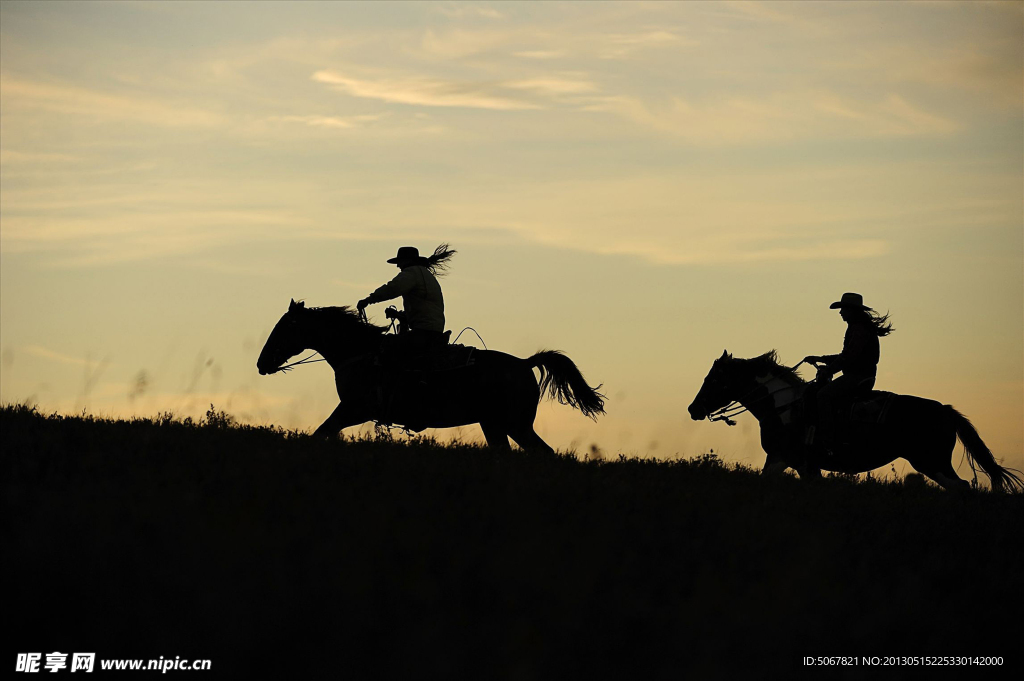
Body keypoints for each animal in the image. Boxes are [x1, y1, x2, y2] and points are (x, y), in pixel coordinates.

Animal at [260, 299, 602, 450]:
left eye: (284, 327)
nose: (262, 363)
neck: (361, 353)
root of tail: (523, 363)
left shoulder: (353, 409)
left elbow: (321, 432)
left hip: (515, 425)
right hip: (494, 425)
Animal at [688, 350, 1024, 489]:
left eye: (713, 379)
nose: (693, 409)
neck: (785, 407)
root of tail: (945, 410)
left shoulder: (801, 462)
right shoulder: (782, 459)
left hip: (932, 462)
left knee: (963, 487)